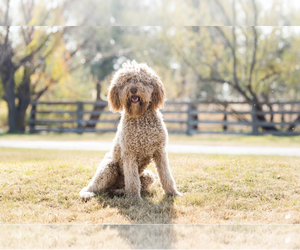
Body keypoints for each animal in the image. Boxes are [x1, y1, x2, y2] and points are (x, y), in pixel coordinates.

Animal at [79, 60, 182, 201]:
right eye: (126, 81)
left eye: (142, 80)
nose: (133, 89)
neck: (140, 117)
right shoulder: (129, 154)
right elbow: (133, 180)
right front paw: (134, 199)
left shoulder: (160, 152)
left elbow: (166, 175)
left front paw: (173, 193)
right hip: (108, 166)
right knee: (94, 186)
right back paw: (88, 194)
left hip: (148, 176)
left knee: (118, 188)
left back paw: (119, 192)